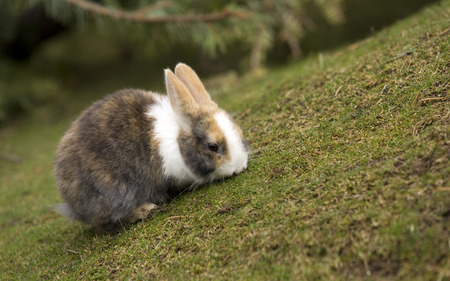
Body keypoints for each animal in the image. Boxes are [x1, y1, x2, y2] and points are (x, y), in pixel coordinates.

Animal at [54, 63, 250, 232]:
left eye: (239, 131)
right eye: (212, 146)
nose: (239, 167)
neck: (178, 141)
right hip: (114, 192)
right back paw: (145, 210)